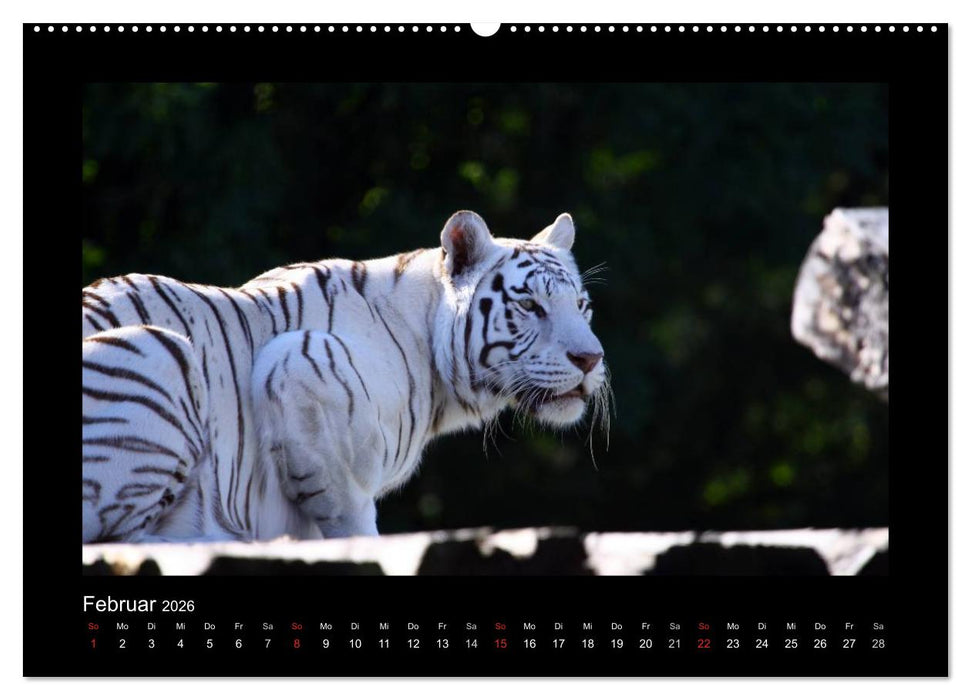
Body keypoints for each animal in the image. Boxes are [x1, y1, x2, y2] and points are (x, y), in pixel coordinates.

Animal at [82, 210, 609, 543]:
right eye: (530, 305)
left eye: (582, 305)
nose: (591, 358)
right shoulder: (300, 366)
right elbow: (350, 521)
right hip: (163, 351)